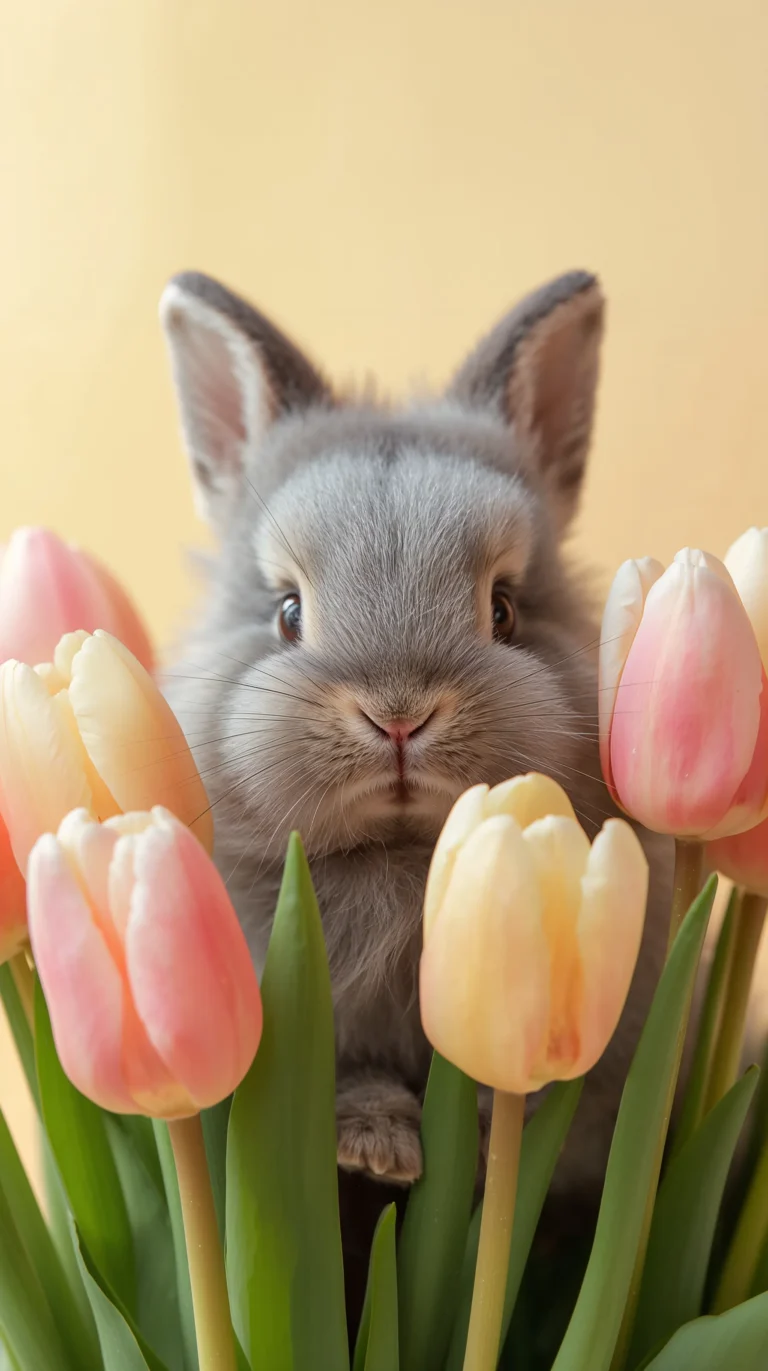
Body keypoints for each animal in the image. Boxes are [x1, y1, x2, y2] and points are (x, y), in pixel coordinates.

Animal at [159, 267, 672, 1203]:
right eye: (287, 612)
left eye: (504, 610)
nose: (398, 714)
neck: (400, 856)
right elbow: (351, 1077)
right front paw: (378, 1152)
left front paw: (482, 1138)